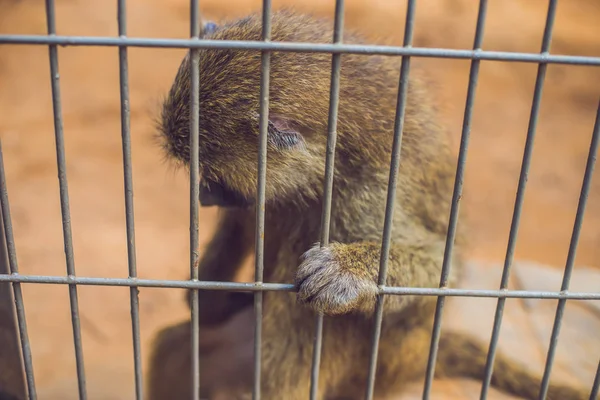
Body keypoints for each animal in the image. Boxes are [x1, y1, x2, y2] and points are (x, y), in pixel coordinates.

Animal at [145, 9, 596, 400]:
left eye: (210, 177)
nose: (202, 196)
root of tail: (419, 355)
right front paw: (209, 295)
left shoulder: (366, 194)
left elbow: (441, 266)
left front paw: (348, 271)